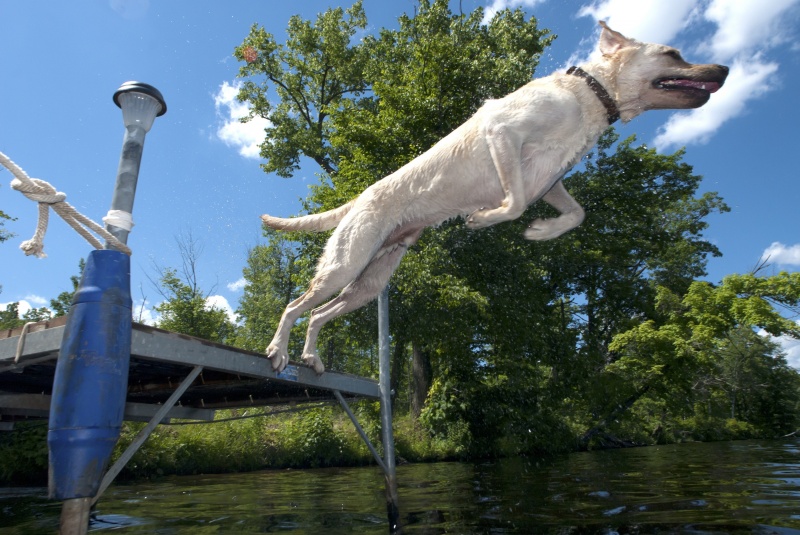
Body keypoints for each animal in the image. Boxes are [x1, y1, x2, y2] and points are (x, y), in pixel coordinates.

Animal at [260, 23, 728, 374]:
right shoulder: (504, 134)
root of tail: (357, 197)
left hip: (369, 283)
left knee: (316, 314)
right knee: (294, 305)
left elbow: (576, 213)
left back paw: (311, 356)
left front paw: (541, 232)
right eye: (673, 53)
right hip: (346, 264)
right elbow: (513, 202)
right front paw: (483, 219)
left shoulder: (550, 180)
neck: (591, 95)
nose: (724, 68)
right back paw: (280, 351)